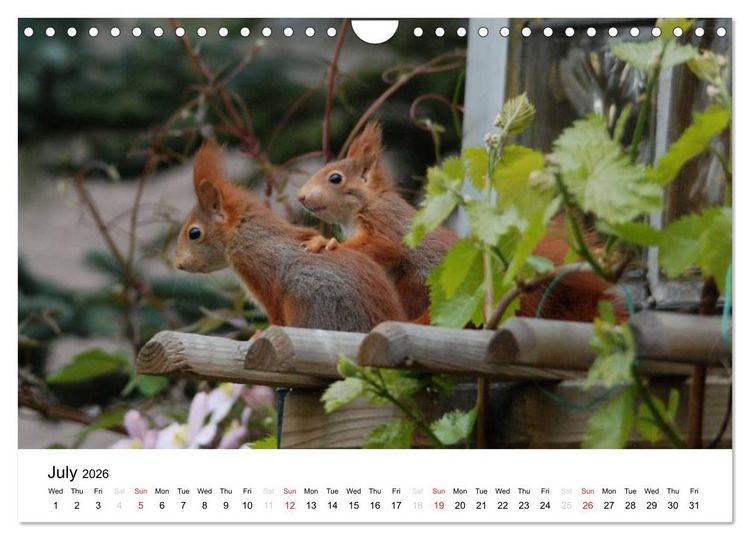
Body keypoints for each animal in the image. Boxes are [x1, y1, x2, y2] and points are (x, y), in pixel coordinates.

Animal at [174, 140, 407, 332]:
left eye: (194, 233)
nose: (178, 264)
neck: (245, 234)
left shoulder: (260, 269)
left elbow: (275, 314)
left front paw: (259, 335)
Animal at [297, 121, 624, 324]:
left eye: (335, 178)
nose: (300, 197)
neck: (361, 208)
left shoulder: (386, 223)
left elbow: (382, 246)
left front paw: (327, 242)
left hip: (418, 286)